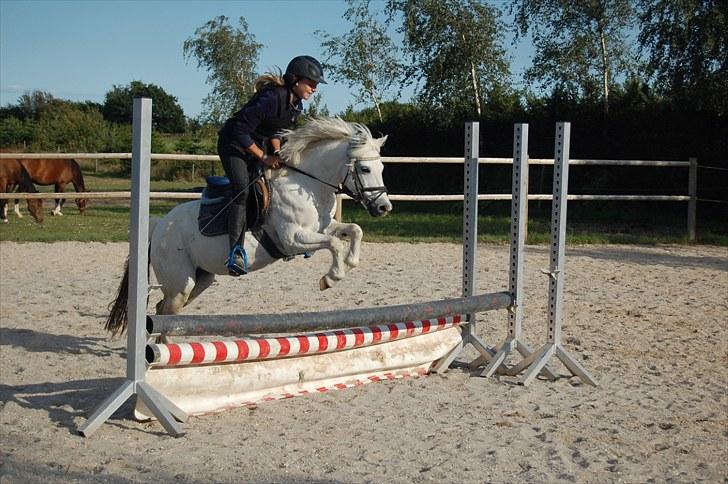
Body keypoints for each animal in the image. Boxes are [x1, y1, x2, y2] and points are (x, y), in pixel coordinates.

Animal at [104, 117, 392, 336]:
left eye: (382, 167)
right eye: (365, 169)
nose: (383, 207)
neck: (307, 183)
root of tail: (159, 227)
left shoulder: (323, 227)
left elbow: (354, 230)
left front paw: (349, 263)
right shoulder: (292, 239)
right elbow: (334, 243)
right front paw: (331, 278)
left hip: (201, 279)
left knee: (165, 311)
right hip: (180, 281)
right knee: (166, 311)